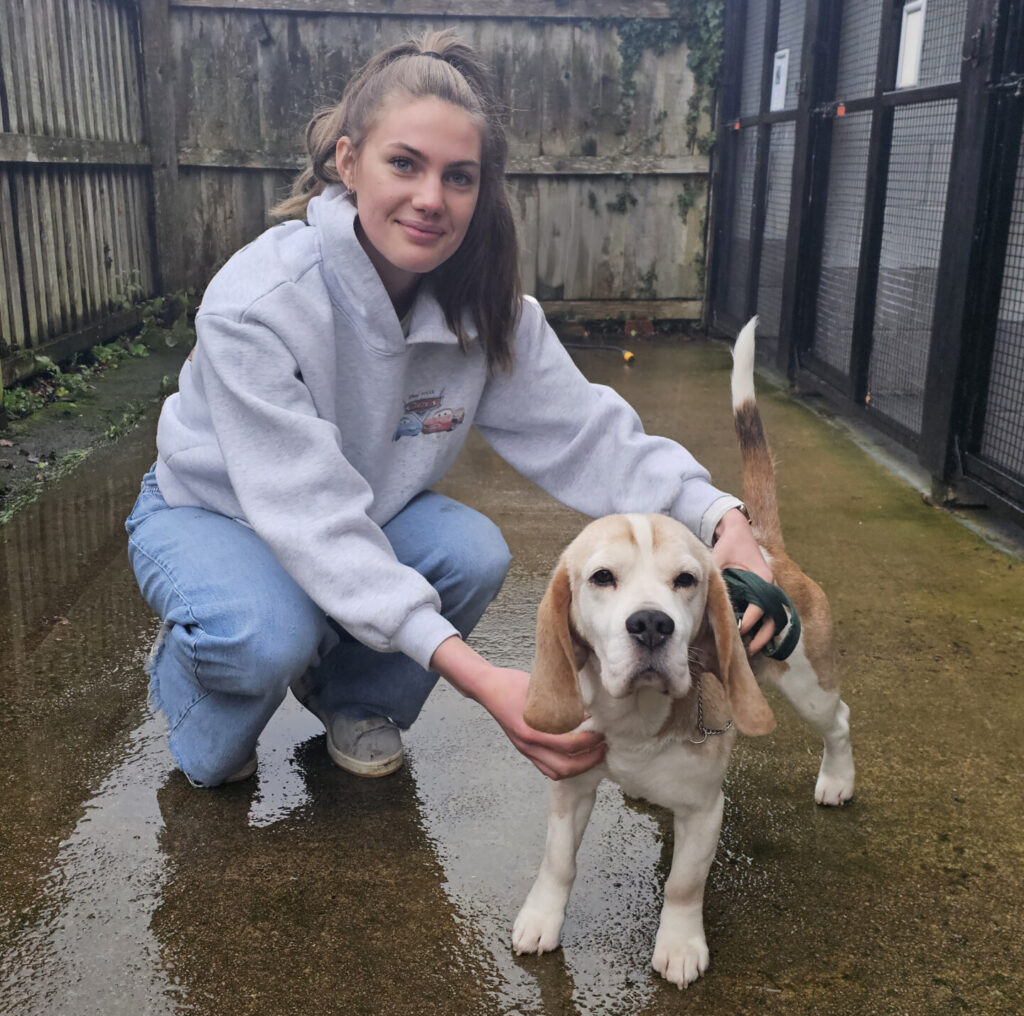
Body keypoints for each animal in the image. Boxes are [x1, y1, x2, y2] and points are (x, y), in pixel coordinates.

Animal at [512, 317, 855, 987]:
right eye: (602, 578)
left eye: (687, 580)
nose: (650, 624)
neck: (636, 721)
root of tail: (765, 548)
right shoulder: (570, 788)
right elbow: (558, 862)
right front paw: (542, 919)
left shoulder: (703, 810)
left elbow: (683, 886)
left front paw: (679, 944)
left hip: (809, 686)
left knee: (840, 721)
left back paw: (838, 779)